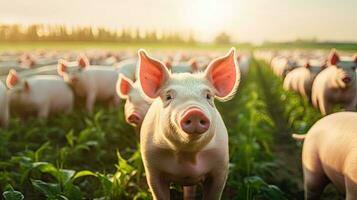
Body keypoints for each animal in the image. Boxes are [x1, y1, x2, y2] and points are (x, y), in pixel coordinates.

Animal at [136, 47, 239, 199]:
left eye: (208, 96)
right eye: (168, 96)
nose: (194, 111)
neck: (188, 154)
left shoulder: (221, 167)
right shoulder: (151, 168)